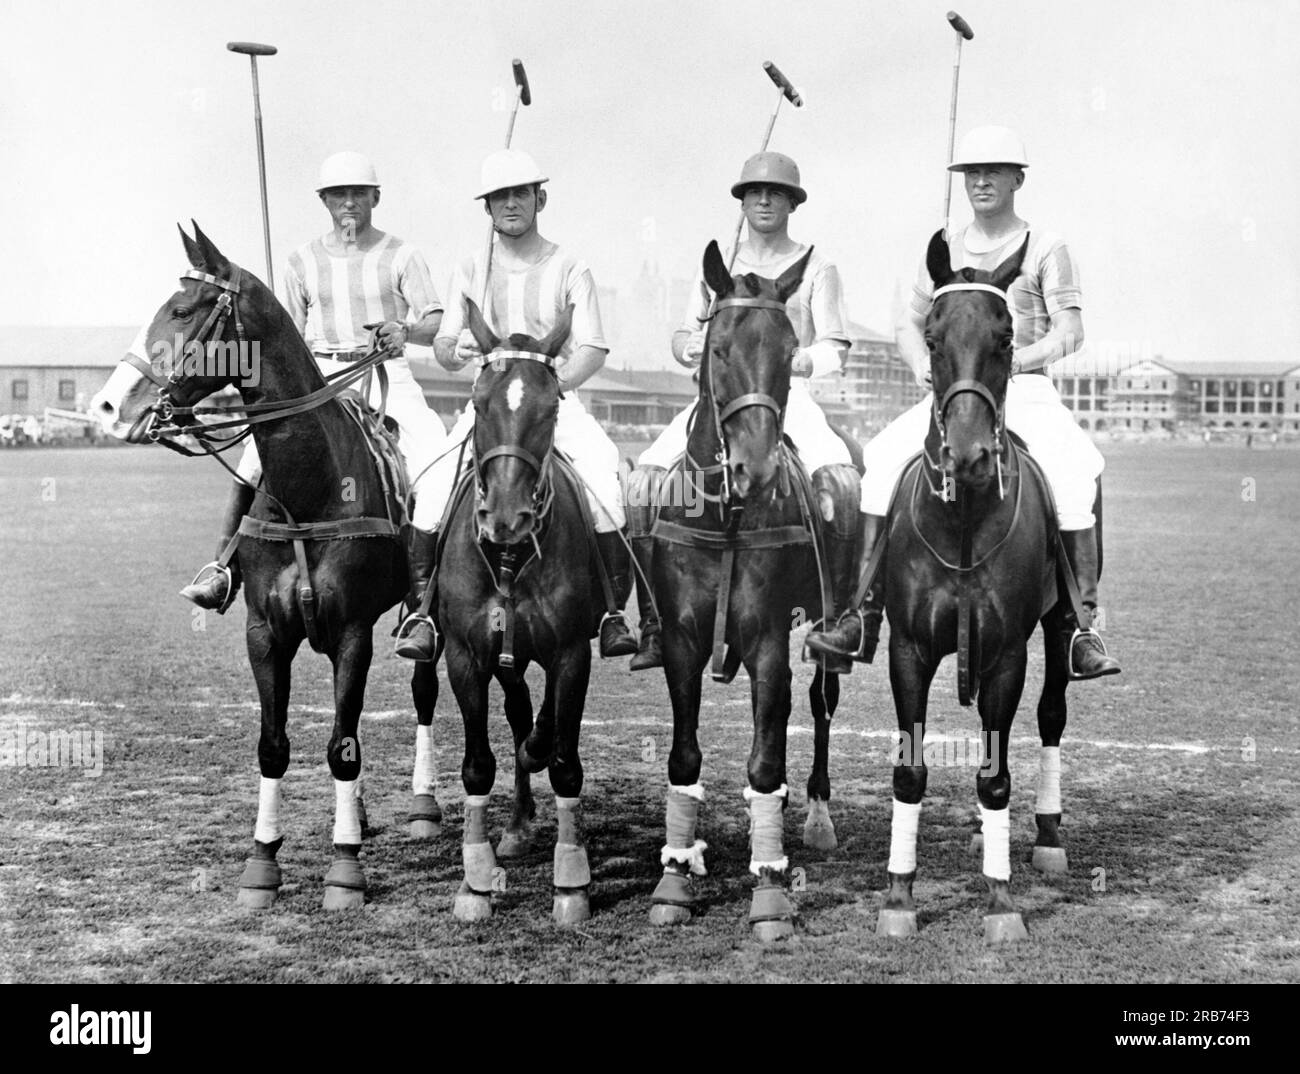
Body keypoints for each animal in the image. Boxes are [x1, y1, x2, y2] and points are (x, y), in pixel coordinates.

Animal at [90, 223, 441, 904]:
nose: (107, 407)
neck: (310, 489)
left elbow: (342, 748)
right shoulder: (264, 633)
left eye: (182, 311)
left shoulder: (353, 632)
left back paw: (424, 806)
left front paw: (344, 870)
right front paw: (262, 865)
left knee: (423, 688)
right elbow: (274, 745)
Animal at [441, 299, 608, 920]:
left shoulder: (571, 654)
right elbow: (478, 762)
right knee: (516, 716)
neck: (511, 558)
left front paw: (571, 882)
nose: (506, 518)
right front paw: (474, 880)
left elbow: (563, 758)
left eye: (550, 405)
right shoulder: (465, 657)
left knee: (538, 728)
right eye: (477, 402)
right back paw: (513, 825)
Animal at [631, 240, 852, 936]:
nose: (756, 469)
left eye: (788, 351)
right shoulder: (682, 641)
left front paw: (771, 891)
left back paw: (818, 817)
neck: (724, 517)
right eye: (719, 347)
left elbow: (765, 763)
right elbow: (683, 757)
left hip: (825, 624)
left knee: (822, 703)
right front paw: (675, 876)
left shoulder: (768, 642)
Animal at [873, 232, 1086, 936]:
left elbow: (996, 777)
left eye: (1006, 337)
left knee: (1052, 715)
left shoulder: (1005, 654)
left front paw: (1000, 901)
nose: (967, 457)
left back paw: (1046, 836)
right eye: (932, 338)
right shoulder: (908, 649)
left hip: (1060, 624)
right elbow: (910, 772)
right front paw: (899, 896)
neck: (963, 516)